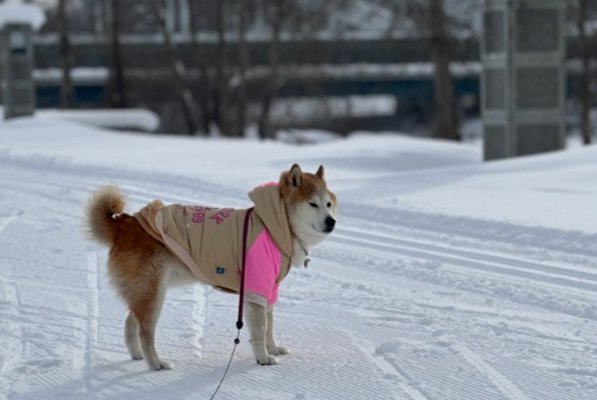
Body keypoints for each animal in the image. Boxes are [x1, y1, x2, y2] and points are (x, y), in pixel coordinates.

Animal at [85, 164, 336, 370]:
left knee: (130, 325)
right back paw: (155, 363)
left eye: (329, 204)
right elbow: (261, 328)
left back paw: (137, 355)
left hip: (144, 292)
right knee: (145, 331)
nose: (331, 221)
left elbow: (269, 325)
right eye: (313, 204)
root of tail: (125, 224)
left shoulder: (268, 289)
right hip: (153, 294)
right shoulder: (255, 288)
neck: (274, 224)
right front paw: (263, 358)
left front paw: (272, 348)